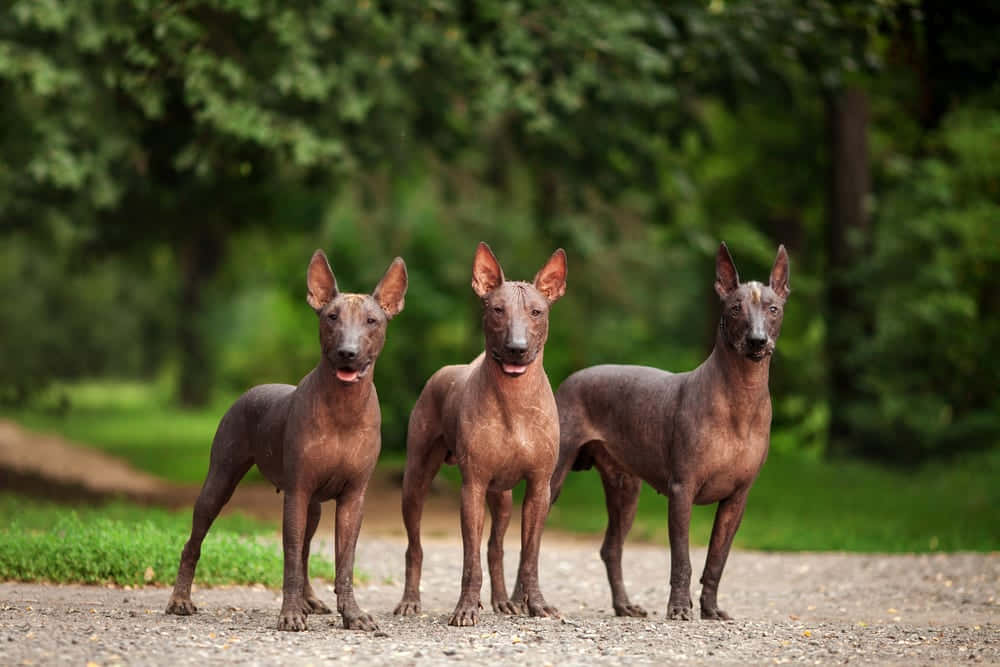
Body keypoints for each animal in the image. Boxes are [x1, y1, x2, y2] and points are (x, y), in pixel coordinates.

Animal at [164, 249, 406, 632]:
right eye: (332, 317)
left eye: (372, 321)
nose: (348, 352)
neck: (344, 408)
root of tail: (253, 389)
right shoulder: (297, 492)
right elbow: (290, 556)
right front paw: (290, 613)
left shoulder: (353, 498)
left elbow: (344, 563)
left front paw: (352, 614)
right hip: (220, 482)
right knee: (195, 541)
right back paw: (180, 600)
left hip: (315, 507)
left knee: (306, 551)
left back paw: (310, 600)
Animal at [548, 244, 788, 620]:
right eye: (735, 308)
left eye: (773, 308)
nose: (757, 341)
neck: (740, 396)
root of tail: (569, 380)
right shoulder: (681, 491)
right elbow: (682, 560)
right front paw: (678, 607)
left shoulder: (737, 499)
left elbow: (717, 561)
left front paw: (710, 609)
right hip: (553, 480)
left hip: (625, 491)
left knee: (610, 549)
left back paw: (624, 605)